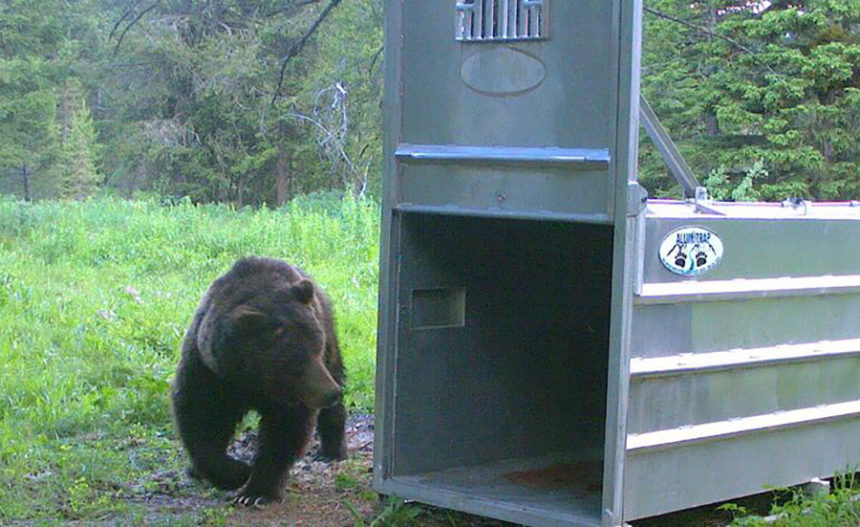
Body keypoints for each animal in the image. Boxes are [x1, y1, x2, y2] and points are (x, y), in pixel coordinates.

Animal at [170, 256, 347, 506]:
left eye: (316, 347)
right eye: (295, 361)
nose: (330, 392)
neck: (253, 383)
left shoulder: (291, 396)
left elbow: (284, 431)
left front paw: (255, 491)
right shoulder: (209, 373)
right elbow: (200, 418)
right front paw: (236, 472)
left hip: (329, 331)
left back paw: (331, 451)